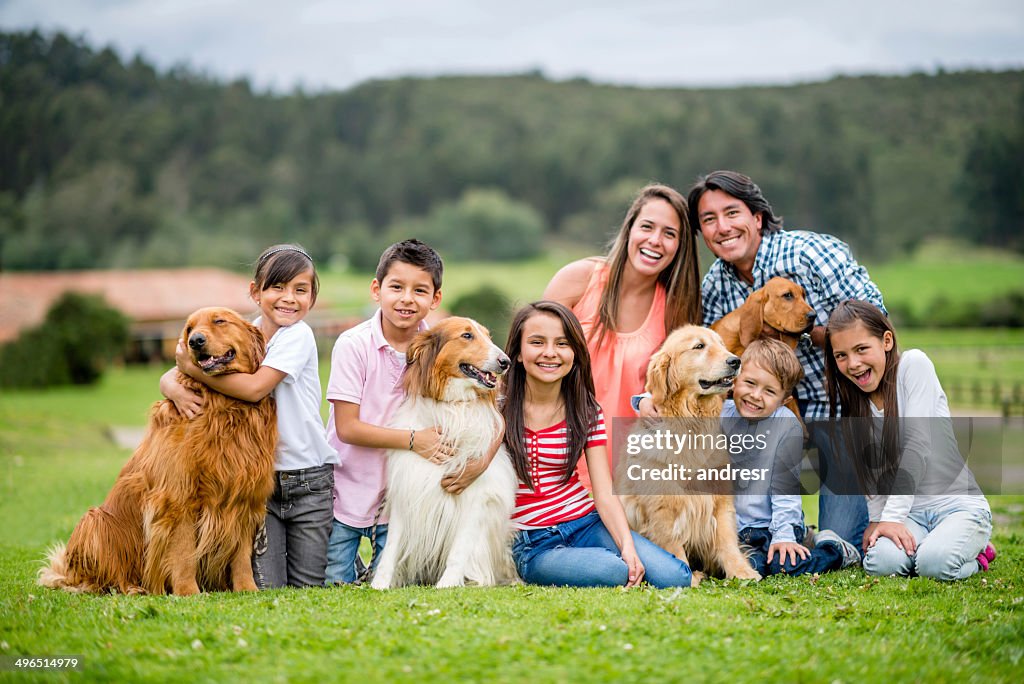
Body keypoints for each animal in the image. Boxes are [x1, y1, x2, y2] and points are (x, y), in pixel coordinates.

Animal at [41, 307, 276, 593]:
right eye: (188, 329)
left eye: (219, 321)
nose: (195, 341)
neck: (223, 407)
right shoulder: (177, 497)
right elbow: (184, 554)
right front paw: (188, 592)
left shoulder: (242, 495)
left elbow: (241, 555)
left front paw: (247, 589)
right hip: (95, 521)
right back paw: (127, 587)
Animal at [614, 327, 761, 585]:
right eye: (699, 346)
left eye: (721, 344)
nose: (735, 361)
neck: (692, 425)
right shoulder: (662, 508)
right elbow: (673, 545)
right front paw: (687, 577)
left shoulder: (719, 498)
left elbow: (727, 540)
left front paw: (741, 572)